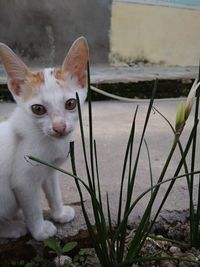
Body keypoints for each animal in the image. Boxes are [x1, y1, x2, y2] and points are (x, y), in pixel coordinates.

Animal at [0, 37, 88, 241]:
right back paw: (13, 228)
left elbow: (53, 192)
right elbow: (33, 208)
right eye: (38, 109)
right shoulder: (23, 181)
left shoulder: (50, 169)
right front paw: (40, 232)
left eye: (71, 103)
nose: (59, 127)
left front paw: (59, 214)